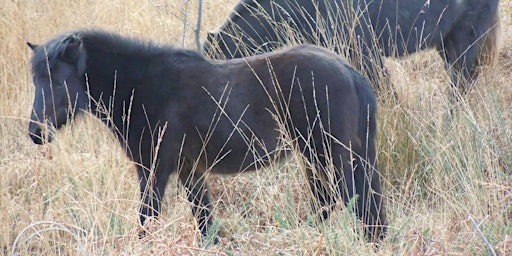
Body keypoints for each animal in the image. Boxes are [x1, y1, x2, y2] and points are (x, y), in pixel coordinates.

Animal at [28, 29, 386, 242]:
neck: (143, 86)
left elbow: (147, 219)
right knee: (340, 203)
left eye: (57, 80)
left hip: (330, 156)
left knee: (355, 203)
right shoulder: (190, 170)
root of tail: (349, 71)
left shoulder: (153, 169)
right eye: (36, 80)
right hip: (322, 159)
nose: (35, 133)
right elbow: (204, 220)